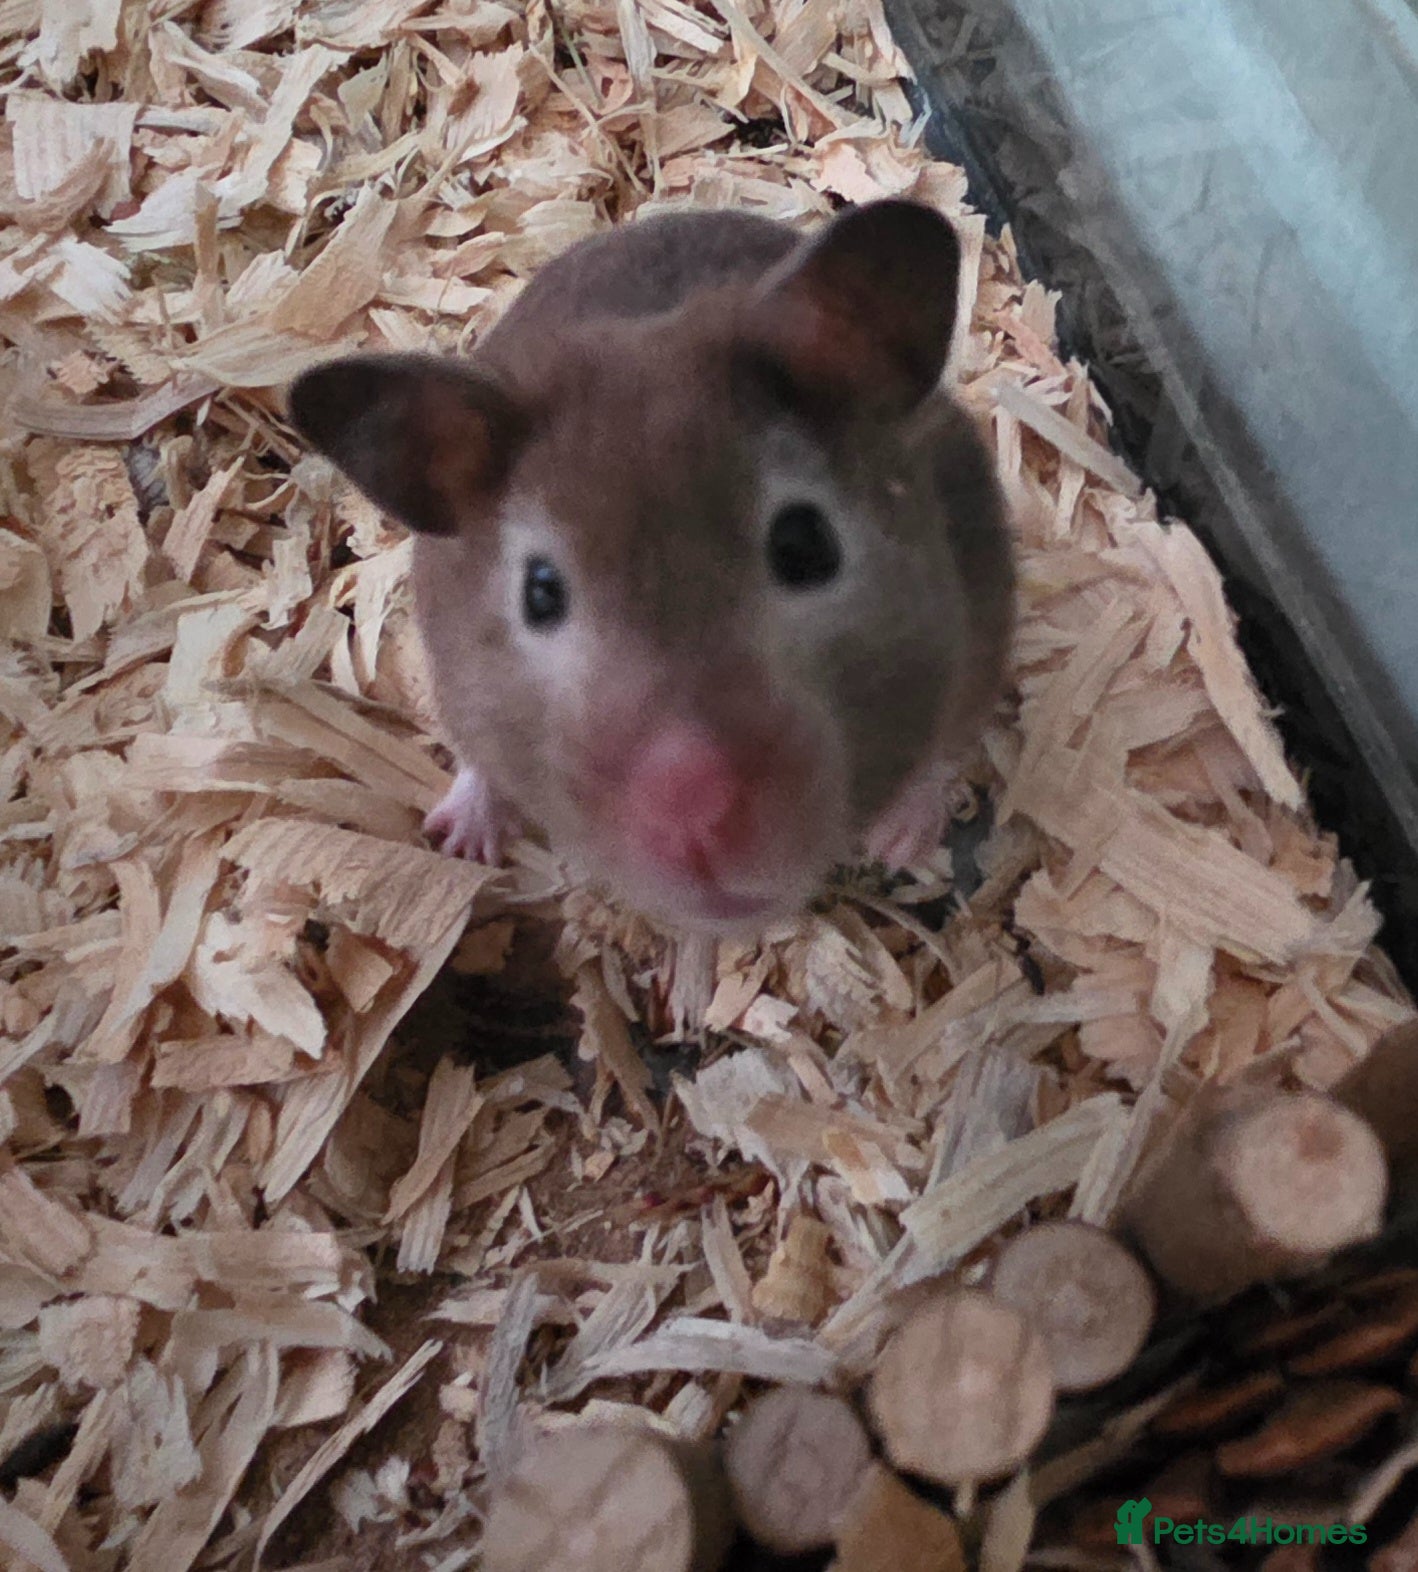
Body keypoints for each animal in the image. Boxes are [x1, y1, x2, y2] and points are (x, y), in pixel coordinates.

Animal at [288, 198, 1014, 933]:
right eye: (539, 593)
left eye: (805, 546)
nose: (698, 821)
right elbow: (481, 761)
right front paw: (460, 842)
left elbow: (944, 742)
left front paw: (898, 839)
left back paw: (901, 840)